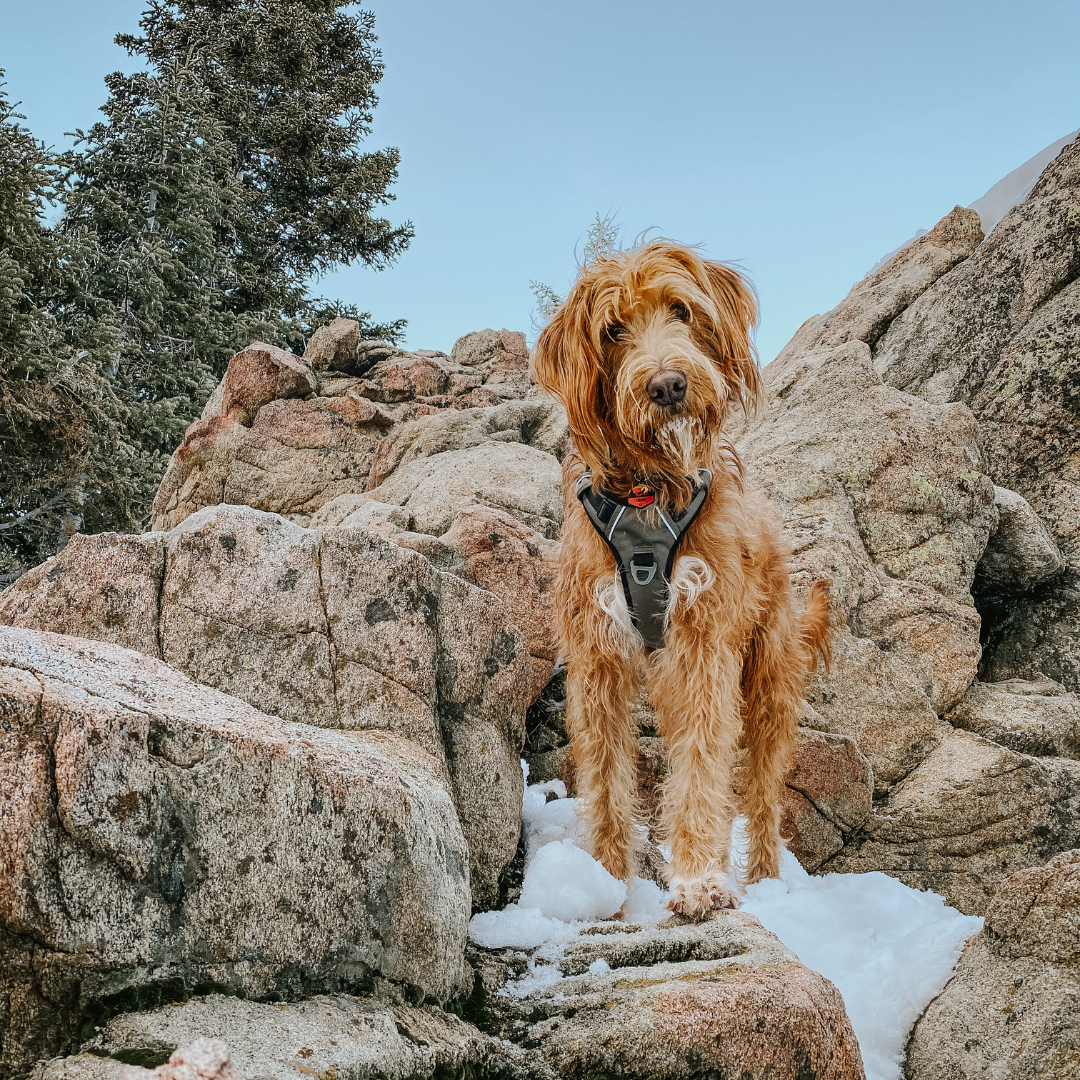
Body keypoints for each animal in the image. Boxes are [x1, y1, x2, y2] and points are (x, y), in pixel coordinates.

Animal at [529, 238, 825, 920]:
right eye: (613, 331)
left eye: (681, 310)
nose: (668, 385)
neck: (647, 490)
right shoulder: (598, 658)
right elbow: (605, 776)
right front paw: (607, 883)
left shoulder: (702, 644)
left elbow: (700, 766)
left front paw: (695, 880)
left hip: (768, 679)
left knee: (763, 795)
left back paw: (763, 881)